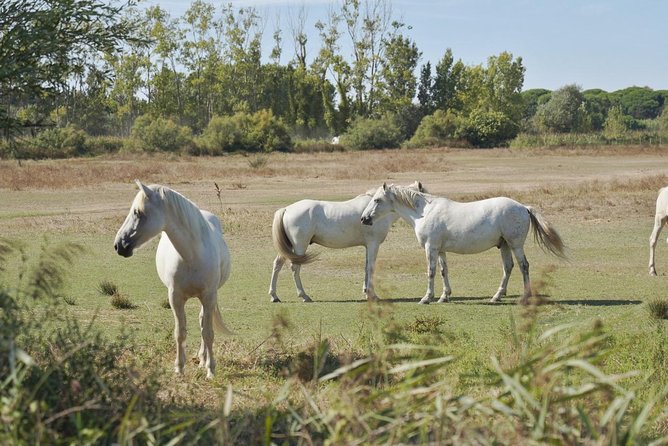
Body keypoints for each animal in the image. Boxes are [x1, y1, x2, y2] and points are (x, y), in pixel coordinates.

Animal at [113, 179, 232, 378]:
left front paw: (210, 370)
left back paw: (203, 360)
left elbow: (208, 333)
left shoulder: (208, 296)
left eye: (137, 212)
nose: (118, 245)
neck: (192, 255)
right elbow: (180, 332)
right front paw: (179, 368)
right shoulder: (175, 297)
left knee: (203, 323)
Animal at [268, 181, 426, 304]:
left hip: (289, 248)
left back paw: (274, 296)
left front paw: (366, 292)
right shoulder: (373, 244)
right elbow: (371, 267)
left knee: (277, 264)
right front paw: (372, 295)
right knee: (295, 268)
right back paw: (304, 296)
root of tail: (286, 209)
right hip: (299, 246)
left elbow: (366, 267)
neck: (374, 213)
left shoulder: (368, 246)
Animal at [360, 183, 564, 304]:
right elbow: (444, 271)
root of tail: (523, 207)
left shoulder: (430, 248)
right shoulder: (440, 250)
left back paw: (525, 296)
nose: (364, 219)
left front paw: (427, 297)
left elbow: (431, 272)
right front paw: (444, 296)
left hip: (515, 245)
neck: (424, 212)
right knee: (508, 267)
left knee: (524, 266)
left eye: (377, 200)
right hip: (505, 245)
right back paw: (496, 296)